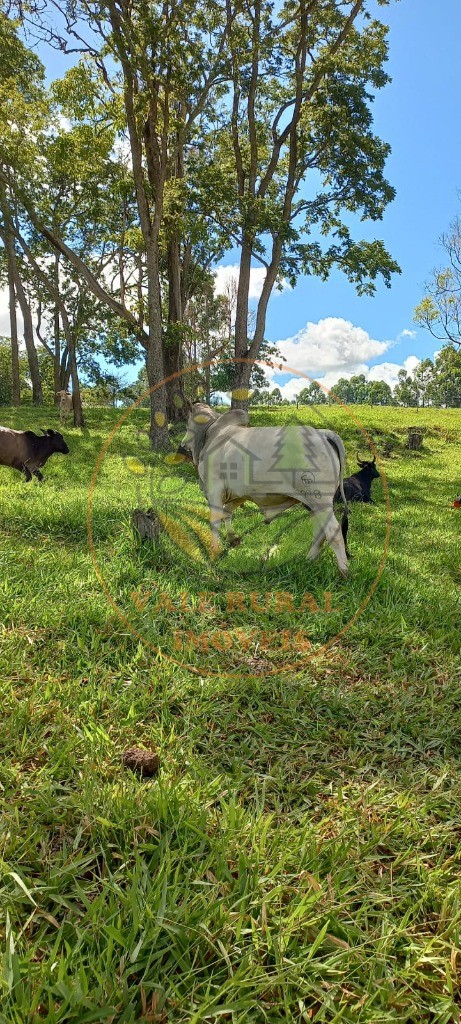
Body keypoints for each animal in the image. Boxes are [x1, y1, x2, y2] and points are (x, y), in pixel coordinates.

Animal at [179, 401, 350, 577]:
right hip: (311, 503)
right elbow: (227, 512)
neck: (210, 433)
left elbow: (215, 521)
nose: (182, 445)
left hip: (319, 500)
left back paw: (343, 571)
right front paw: (232, 539)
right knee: (320, 532)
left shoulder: (215, 489)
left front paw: (214, 551)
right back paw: (308, 560)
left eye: (188, 424)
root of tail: (323, 433)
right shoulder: (239, 493)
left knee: (334, 531)